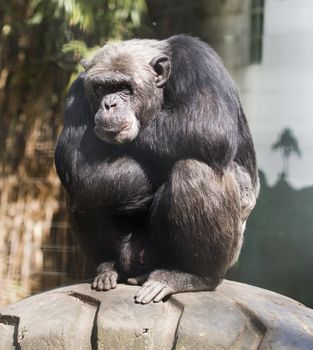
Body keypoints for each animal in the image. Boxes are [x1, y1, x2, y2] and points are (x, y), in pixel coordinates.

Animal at [54, 34, 258, 304]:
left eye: (124, 87)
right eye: (101, 88)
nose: (109, 104)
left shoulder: (199, 60)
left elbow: (210, 126)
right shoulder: (77, 92)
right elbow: (79, 166)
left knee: (195, 169)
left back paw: (190, 276)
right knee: (82, 191)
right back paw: (107, 267)